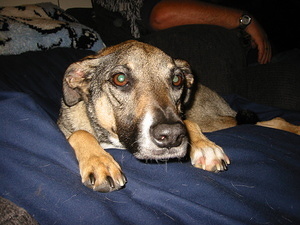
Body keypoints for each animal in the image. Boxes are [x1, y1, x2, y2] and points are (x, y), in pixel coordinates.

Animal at [57, 40, 298, 192]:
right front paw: (100, 163)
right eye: (120, 79)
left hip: (215, 120)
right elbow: (79, 133)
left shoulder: (184, 117)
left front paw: (204, 146)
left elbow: (188, 122)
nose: (172, 136)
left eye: (176, 80)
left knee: (273, 120)